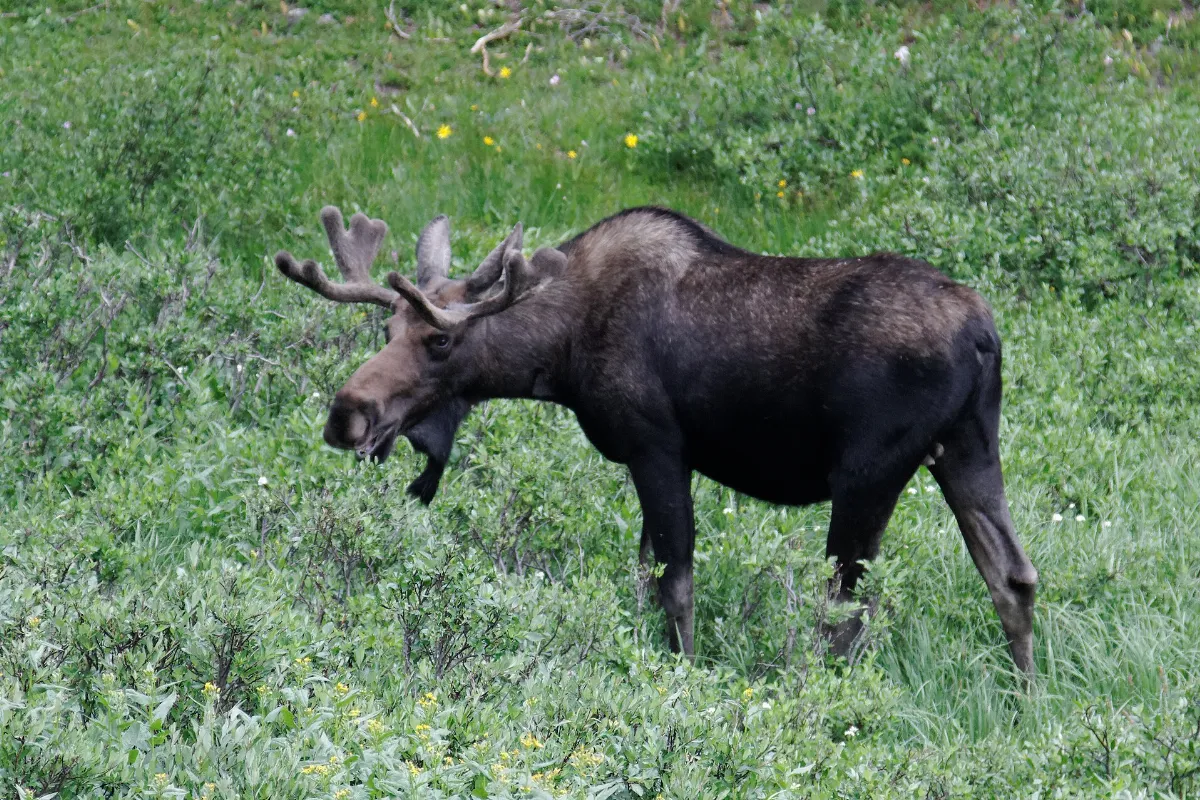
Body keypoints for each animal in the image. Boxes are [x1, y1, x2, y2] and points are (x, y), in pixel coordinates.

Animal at [275, 205, 1039, 675]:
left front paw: (682, 674)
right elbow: (644, 578)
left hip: (868, 474)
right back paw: (1025, 699)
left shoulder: (657, 448)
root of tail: (985, 336)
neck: (558, 356)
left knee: (846, 609)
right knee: (1014, 576)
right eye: (386, 330)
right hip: (969, 449)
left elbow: (675, 586)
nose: (347, 413)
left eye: (439, 340)